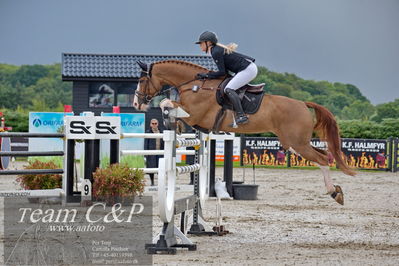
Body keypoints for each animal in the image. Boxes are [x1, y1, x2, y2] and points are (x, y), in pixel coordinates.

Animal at [134, 59, 356, 205]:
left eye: (142, 80)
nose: (137, 104)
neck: (195, 86)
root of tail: (303, 103)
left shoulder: (194, 115)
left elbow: (166, 102)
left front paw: (166, 116)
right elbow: (169, 104)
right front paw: (170, 120)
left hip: (297, 143)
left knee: (323, 159)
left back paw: (334, 193)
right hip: (294, 143)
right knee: (324, 155)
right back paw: (336, 191)